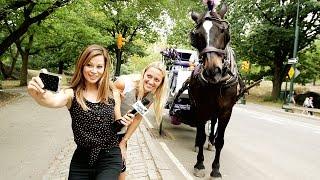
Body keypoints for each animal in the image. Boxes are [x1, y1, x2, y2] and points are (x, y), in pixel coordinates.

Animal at [188, 3, 242, 178]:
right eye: (196, 35)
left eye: (223, 30)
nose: (213, 71)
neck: (217, 84)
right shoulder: (201, 108)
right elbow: (200, 135)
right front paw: (199, 164)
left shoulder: (226, 111)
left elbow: (220, 140)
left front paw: (216, 168)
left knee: (213, 124)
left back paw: (210, 142)